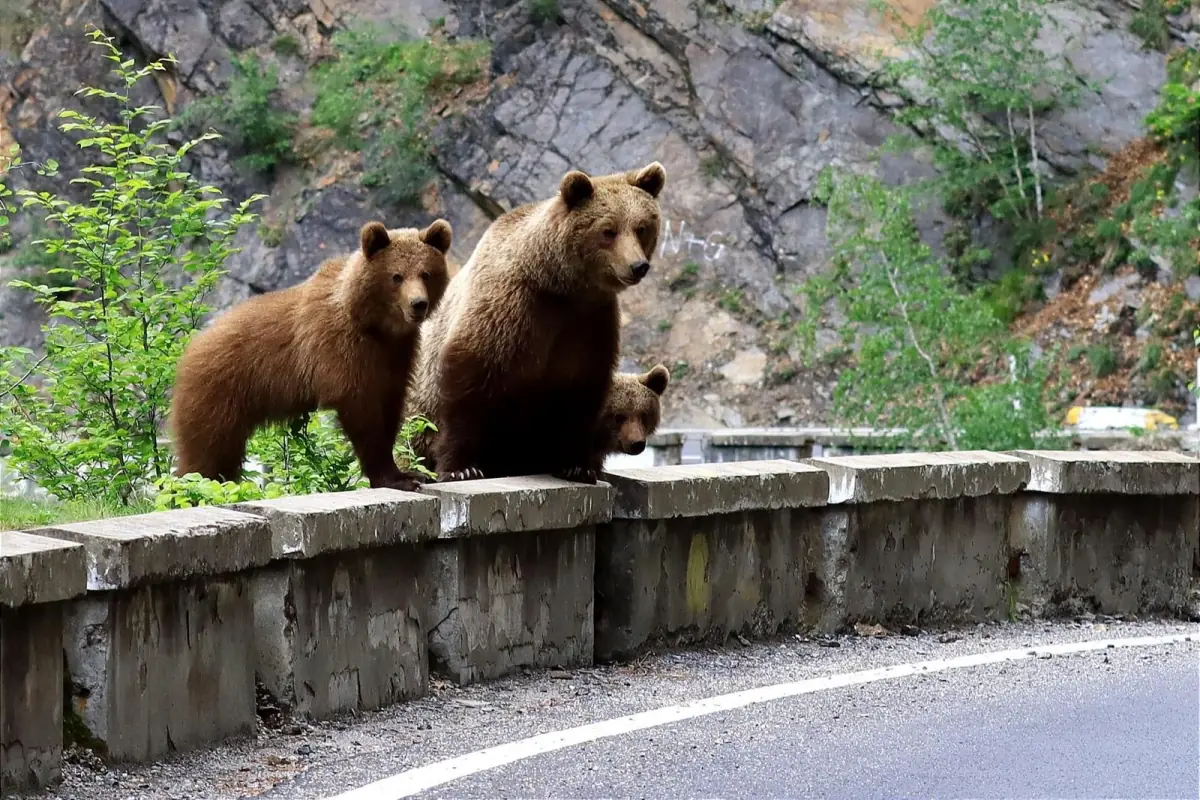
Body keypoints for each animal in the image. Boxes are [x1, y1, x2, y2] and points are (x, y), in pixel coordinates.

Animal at [169, 218, 453, 492]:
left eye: (426, 273)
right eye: (396, 276)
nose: (418, 304)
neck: (373, 325)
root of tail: (191, 349)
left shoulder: (397, 355)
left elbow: (391, 407)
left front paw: (410, 473)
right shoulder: (341, 350)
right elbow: (362, 414)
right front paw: (393, 477)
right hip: (217, 394)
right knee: (207, 452)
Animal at [407, 161, 667, 484]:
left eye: (642, 227)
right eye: (609, 230)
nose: (638, 266)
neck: (559, 286)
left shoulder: (589, 322)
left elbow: (580, 392)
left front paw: (576, 466)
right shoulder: (508, 310)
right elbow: (469, 381)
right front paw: (461, 467)